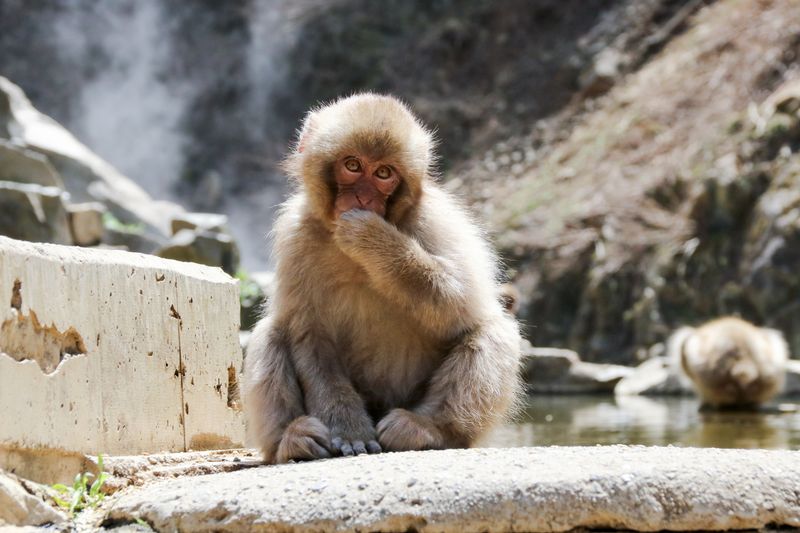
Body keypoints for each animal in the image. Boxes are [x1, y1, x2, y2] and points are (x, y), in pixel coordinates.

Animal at [243, 93, 522, 464]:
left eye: (384, 173)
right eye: (353, 165)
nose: (363, 197)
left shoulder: (435, 219)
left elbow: (461, 304)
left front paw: (371, 239)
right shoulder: (295, 235)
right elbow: (308, 333)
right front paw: (348, 429)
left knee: (493, 328)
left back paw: (428, 429)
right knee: (271, 332)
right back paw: (290, 441)